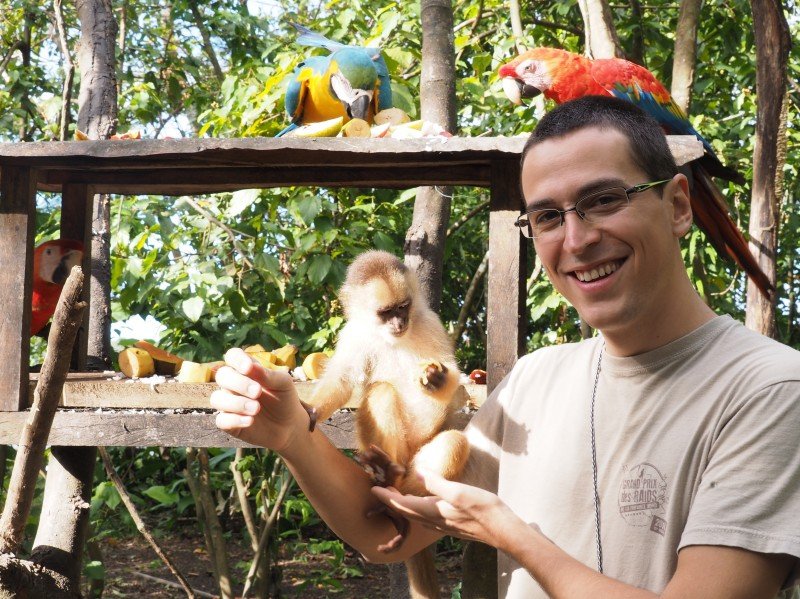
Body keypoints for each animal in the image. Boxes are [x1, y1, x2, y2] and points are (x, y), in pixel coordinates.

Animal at [306, 250, 468, 599]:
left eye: (403, 307)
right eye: (386, 313)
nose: (399, 323)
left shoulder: (430, 321)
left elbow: (453, 376)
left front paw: (437, 379)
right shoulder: (354, 334)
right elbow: (343, 381)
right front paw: (311, 410)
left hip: (417, 458)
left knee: (453, 444)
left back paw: (398, 499)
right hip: (388, 448)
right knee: (381, 392)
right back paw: (384, 474)